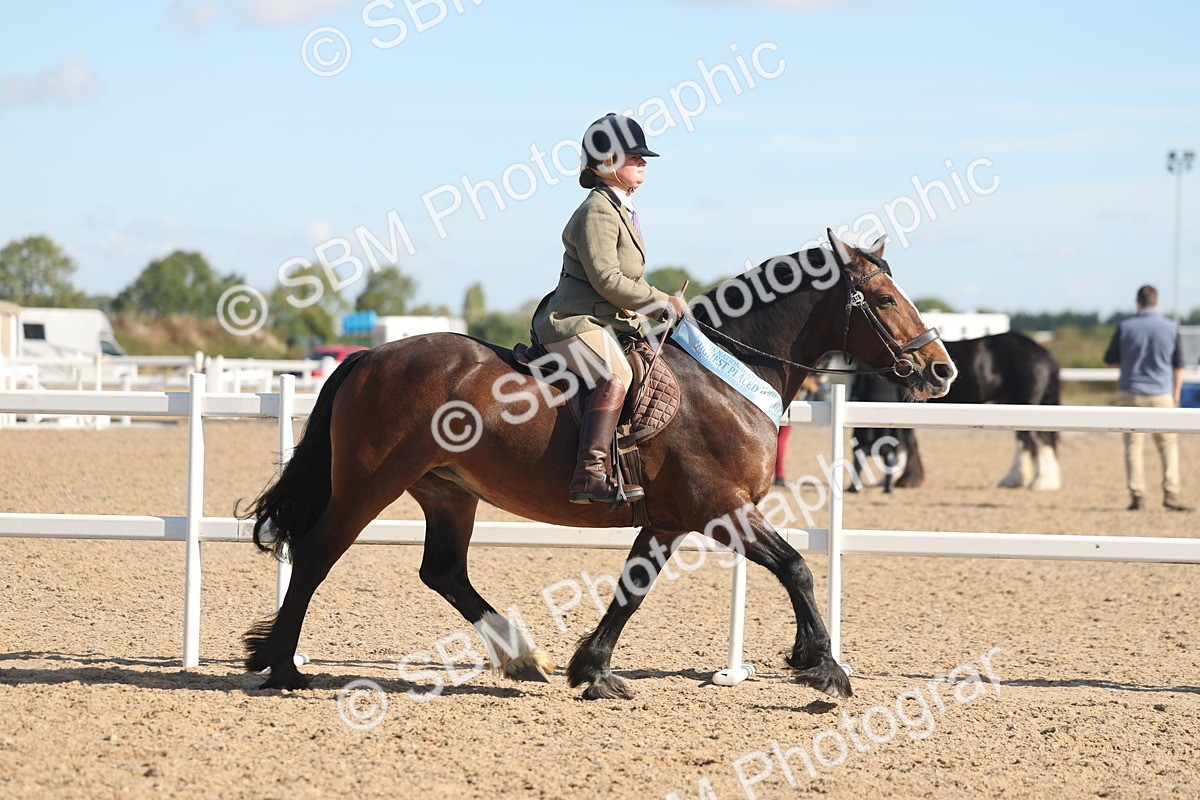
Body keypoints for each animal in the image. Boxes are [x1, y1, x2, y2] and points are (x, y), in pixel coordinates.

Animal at [241, 231, 956, 702]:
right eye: (883, 298)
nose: (940, 370)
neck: (729, 374)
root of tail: (368, 357)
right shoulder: (722, 509)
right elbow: (798, 569)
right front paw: (822, 667)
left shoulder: (669, 519)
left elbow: (632, 588)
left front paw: (594, 669)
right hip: (369, 484)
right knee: (316, 553)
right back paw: (283, 667)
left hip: (448, 493)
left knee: (442, 571)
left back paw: (521, 658)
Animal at [850, 331, 1061, 491]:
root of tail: (1044, 354)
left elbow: (905, 442)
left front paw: (904, 479)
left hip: (1024, 403)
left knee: (1032, 440)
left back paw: (1032, 480)